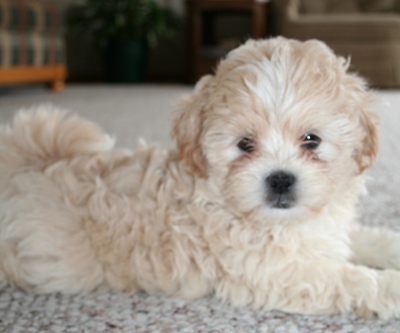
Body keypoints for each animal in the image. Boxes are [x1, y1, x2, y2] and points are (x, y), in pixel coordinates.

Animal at [0, 37, 400, 320]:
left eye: (311, 140)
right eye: (245, 144)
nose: (280, 180)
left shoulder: (325, 233)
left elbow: (365, 239)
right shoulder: (273, 271)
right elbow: (349, 277)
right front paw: (391, 287)